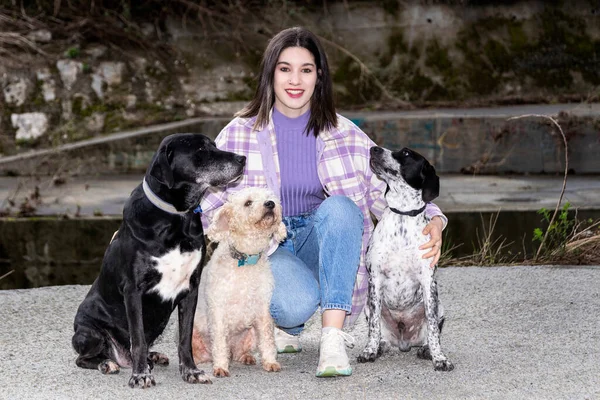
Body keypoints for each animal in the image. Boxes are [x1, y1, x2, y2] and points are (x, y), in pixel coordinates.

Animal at [71, 134, 245, 388]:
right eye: (201, 150)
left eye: (213, 145)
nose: (242, 159)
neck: (176, 217)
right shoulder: (133, 290)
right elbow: (138, 339)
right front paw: (140, 375)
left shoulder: (191, 289)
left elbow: (184, 339)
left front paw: (191, 371)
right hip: (88, 333)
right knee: (84, 358)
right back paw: (108, 363)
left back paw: (152, 357)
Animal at [191, 188, 288, 378]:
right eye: (248, 203)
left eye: (269, 197)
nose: (270, 204)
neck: (246, 259)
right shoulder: (218, 312)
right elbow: (219, 342)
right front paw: (220, 367)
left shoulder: (263, 311)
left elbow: (268, 340)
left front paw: (270, 362)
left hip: (250, 333)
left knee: (238, 352)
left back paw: (246, 357)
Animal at [356, 145, 454, 372]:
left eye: (406, 153)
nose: (374, 148)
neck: (402, 214)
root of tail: (404, 342)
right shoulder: (376, 280)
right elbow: (373, 327)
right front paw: (369, 350)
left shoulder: (428, 282)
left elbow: (433, 330)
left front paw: (439, 358)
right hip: (368, 307)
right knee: (379, 332)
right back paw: (380, 346)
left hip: (440, 306)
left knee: (431, 332)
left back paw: (426, 349)